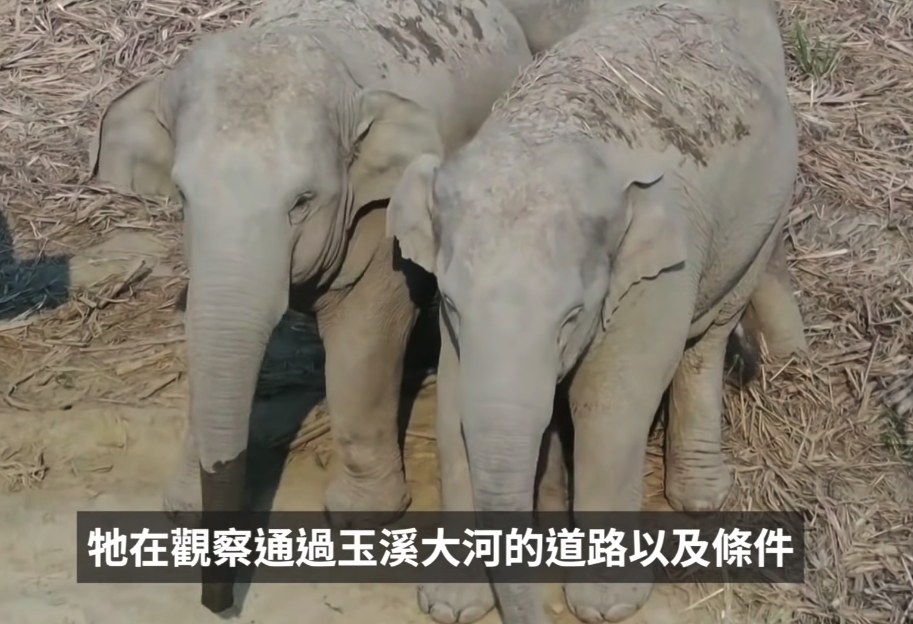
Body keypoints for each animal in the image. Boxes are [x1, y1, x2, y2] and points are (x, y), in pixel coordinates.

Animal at [88, 0, 534, 613]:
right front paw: (183, 505)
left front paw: (360, 514)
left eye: (302, 201)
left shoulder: (381, 209)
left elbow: (366, 329)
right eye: (181, 195)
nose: (216, 602)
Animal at [386, 4, 806, 624]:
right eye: (454, 305)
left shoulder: (658, 273)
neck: (554, 128)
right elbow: (455, 406)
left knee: (707, 340)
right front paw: (451, 604)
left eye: (572, 316)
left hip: (762, 220)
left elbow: (609, 402)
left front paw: (607, 605)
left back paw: (700, 499)